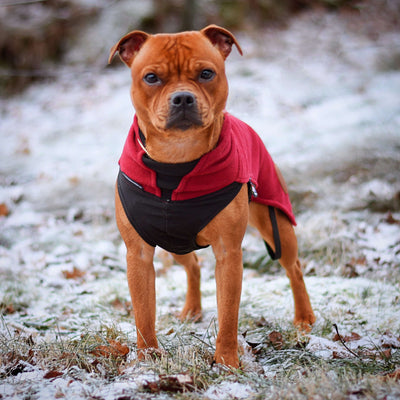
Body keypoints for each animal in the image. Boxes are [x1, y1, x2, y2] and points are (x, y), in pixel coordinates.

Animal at [109, 25, 316, 368]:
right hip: (174, 241)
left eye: (206, 73)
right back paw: (192, 309)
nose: (182, 97)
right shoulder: (137, 254)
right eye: (151, 77)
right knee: (191, 264)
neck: (176, 160)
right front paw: (149, 357)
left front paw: (227, 361)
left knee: (294, 267)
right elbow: (143, 312)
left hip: (276, 223)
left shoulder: (228, 253)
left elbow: (228, 313)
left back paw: (304, 318)